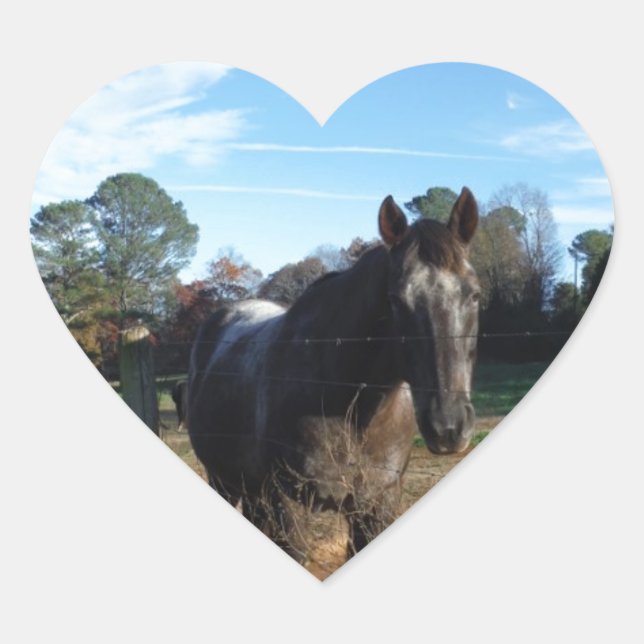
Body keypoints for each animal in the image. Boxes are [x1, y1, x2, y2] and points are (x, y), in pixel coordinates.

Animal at [188, 187, 480, 561]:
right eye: (395, 300)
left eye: (474, 294)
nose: (448, 426)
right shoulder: (290, 507)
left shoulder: (377, 506)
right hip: (224, 482)